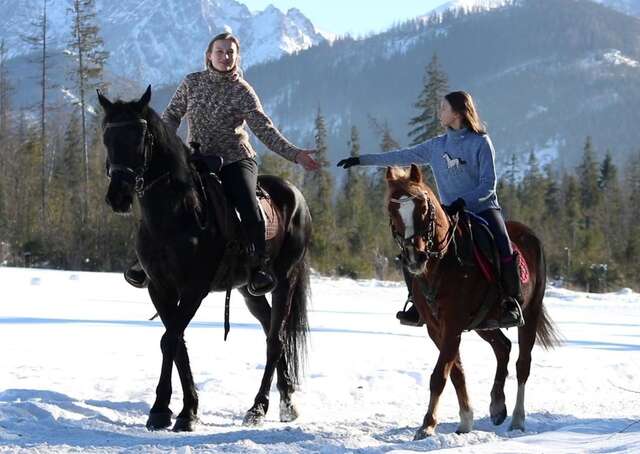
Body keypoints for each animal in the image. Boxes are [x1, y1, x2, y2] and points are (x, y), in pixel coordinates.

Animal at [97, 87, 312, 430]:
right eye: (107, 136)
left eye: (140, 137)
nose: (118, 195)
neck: (176, 213)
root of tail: (296, 196)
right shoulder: (159, 287)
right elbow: (176, 341)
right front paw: (174, 409)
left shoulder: (194, 288)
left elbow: (170, 339)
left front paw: (177, 412)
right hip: (249, 291)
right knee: (270, 331)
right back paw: (287, 399)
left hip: (284, 281)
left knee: (275, 341)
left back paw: (260, 407)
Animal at [384, 166, 560, 440]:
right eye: (392, 211)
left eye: (423, 207)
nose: (415, 257)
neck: (442, 263)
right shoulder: (437, 327)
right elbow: (455, 370)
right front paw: (466, 420)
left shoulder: (453, 324)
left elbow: (440, 374)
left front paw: (427, 425)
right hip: (484, 323)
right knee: (503, 347)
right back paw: (497, 406)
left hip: (530, 314)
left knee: (523, 365)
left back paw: (517, 419)